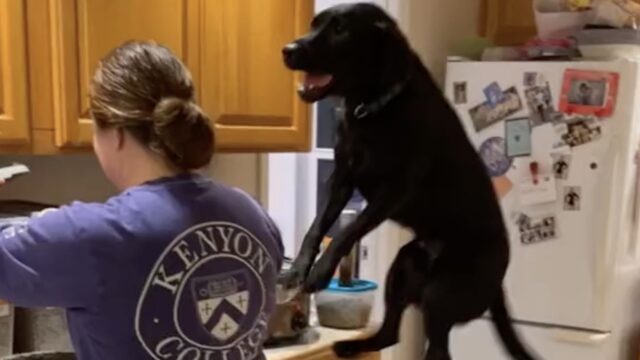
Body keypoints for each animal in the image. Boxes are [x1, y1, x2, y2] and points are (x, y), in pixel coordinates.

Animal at [280, 2, 540, 360]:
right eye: (313, 24)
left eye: (340, 30)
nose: (287, 50)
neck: (372, 107)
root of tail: (498, 281)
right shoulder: (341, 179)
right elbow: (317, 227)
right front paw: (298, 269)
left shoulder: (393, 190)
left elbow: (347, 229)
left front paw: (321, 270)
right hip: (403, 268)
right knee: (390, 333)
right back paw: (353, 346)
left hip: (441, 294)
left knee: (439, 350)